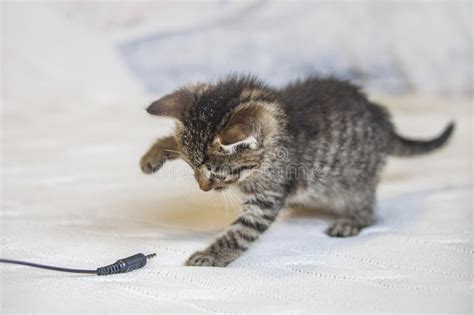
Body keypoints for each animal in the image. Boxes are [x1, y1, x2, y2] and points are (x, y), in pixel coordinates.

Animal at [140, 75, 456, 268]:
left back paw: (350, 222)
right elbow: (176, 142)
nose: (203, 188)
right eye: (193, 169)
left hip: (355, 184)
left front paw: (211, 255)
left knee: (369, 211)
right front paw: (153, 155)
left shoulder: (267, 198)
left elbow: (240, 233)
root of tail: (384, 122)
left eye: (217, 173)